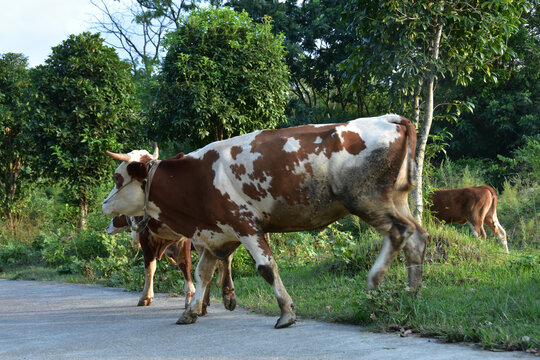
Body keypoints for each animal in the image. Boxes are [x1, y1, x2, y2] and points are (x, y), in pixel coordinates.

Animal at [103, 114, 428, 328]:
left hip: (365, 198)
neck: (197, 180)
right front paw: (191, 311)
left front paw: (286, 312)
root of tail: (390, 118)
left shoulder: (246, 224)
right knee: (417, 237)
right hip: (395, 199)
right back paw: (411, 294)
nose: (105, 205)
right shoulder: (213, 233)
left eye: (118, 178)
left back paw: (374, 283)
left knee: (401, 232)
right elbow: (203, 273)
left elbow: (266, 268)